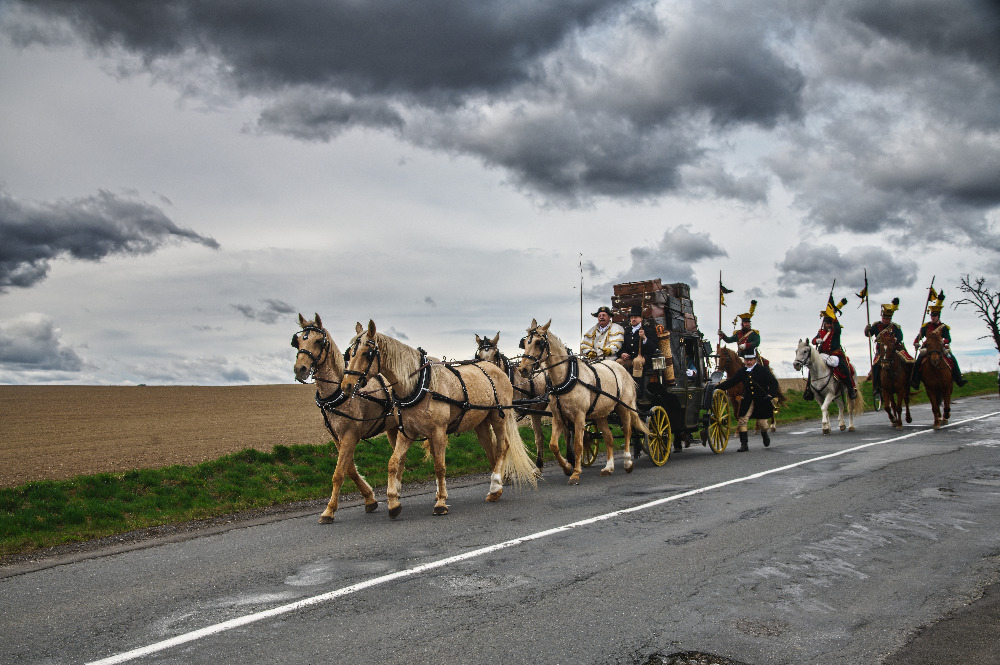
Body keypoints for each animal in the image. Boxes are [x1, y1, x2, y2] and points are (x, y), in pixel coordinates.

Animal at [292, 314, 396, 520]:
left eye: (318, 341)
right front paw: (369, 499)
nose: (300, 369)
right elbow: (350, 470)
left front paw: (329, 510)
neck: (336, 392)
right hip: (394, 428)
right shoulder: (337, 437)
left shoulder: (350, 434)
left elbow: (338, 473)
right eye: (298, 341)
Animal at [340, 320, 536, 516]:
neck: (419, 385)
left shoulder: (439, 431)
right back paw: (496, 489)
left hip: (499, 416)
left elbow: (440, 467)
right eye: (349, 354)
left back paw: (495, 485)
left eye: (366, 353)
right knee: (491, 449)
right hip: (480, 422)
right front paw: (393, 502)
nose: (346, 385)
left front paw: (441, 502)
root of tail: (496, 370)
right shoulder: (407, 433)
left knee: (503, 446)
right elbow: (393, 463)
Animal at [516, 320, 648, 486]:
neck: (567, 377)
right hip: (601, 414)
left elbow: (578, 445)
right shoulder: (558, 417)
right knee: (609, 437)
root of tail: (622, 368)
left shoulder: (579, 416)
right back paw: (608, 467)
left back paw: (627, 462)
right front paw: (567, 468)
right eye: (525, 342)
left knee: (627, 432)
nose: (523, 369)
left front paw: (575, 473)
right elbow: (553, 445)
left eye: (539, 342)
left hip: (623, 407)